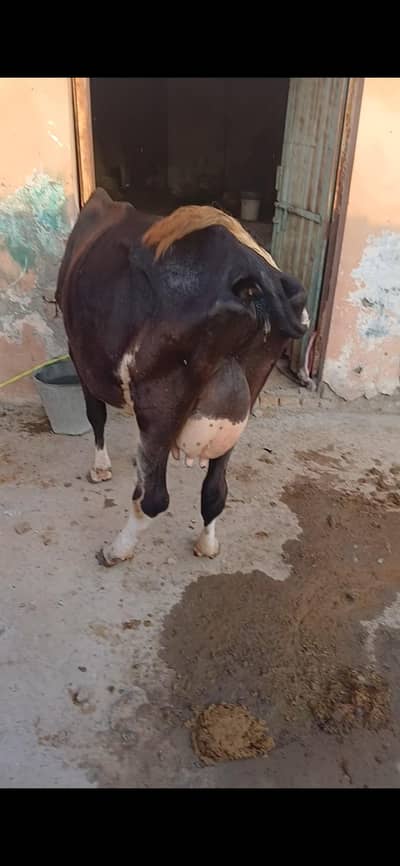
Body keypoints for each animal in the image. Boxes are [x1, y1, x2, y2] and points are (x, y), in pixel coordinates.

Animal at [56, 188, 309, 567]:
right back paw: (206, 544)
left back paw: (117, 549)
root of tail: (252, 273)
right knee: (215, 490)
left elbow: (95, 413)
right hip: (249, 386)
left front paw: (100, 467)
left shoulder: (79, 353)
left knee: (154, 499)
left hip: (161, 396)